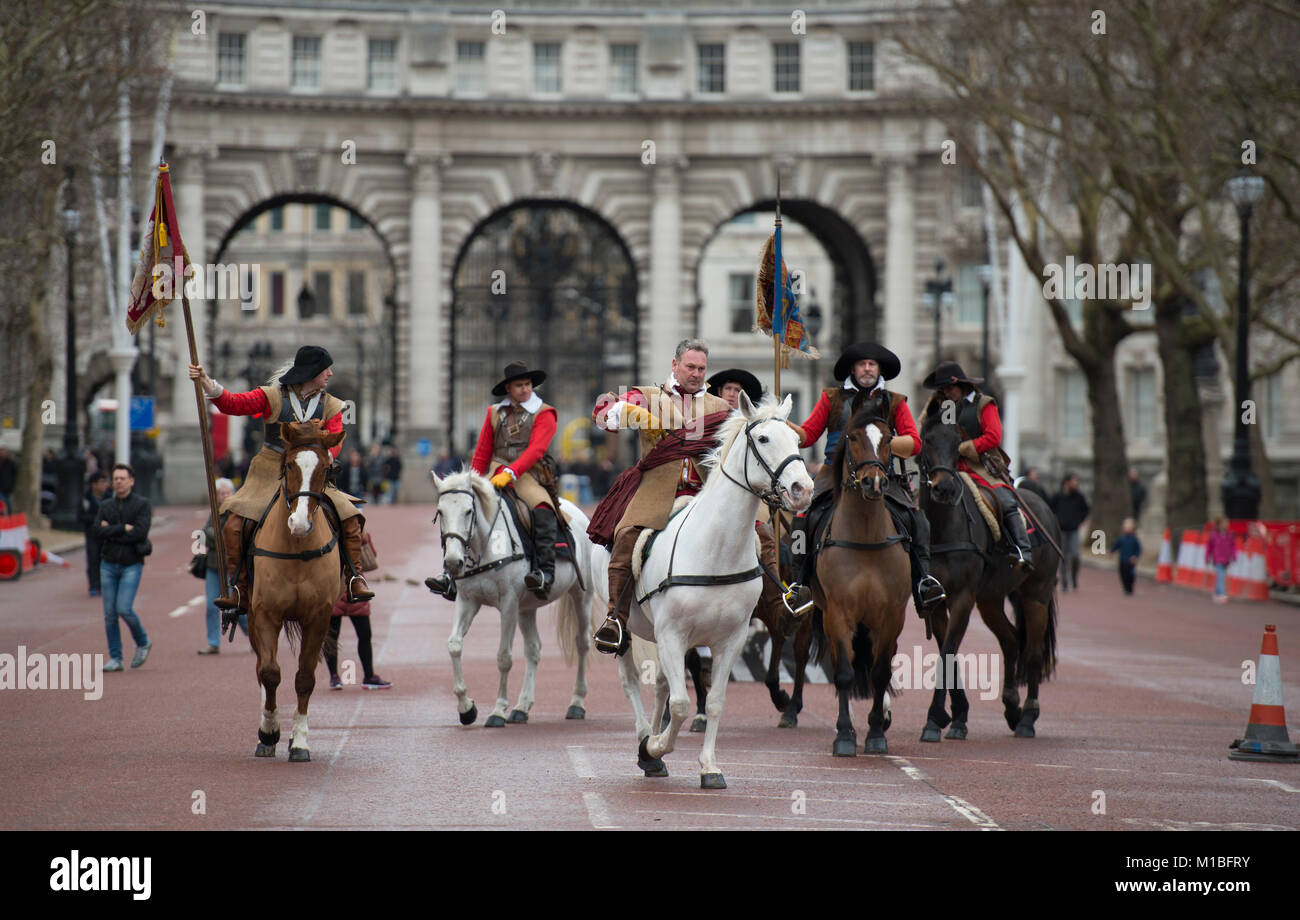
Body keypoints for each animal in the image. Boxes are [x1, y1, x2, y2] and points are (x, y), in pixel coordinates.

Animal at [249, 418, 348, 764]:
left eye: (326, 468)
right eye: (290, 464)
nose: (300, 524)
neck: (296, 548)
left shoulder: (317, 618)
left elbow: (305, 677)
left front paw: (300, 741)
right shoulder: (265, 613)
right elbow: (269, 672)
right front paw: (268, 732)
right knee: (261, 669)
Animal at [436, 475, 598, 727]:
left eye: (468, 511)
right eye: (440, 512)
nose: (453, 563)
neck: (485, 546)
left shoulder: (509, 604)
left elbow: (504, 657)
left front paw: (497, 711)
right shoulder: (467, 601)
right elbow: (454, 645)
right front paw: (466, 708)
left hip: (582, 596)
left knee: (582, 644)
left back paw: (577, 703)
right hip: (527, 608)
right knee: (534, 649)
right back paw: (522, 707)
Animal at [592, 392, 811, 784]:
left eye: (796, 439)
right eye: (764, 439)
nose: (804, 490)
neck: (716, 548)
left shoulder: (729, 640)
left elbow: (714, 703)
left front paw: (708, 766)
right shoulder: (672, 636)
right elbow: (681, 705)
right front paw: (655, 746)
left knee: (662, 686)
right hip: (628, 627)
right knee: (631, 682)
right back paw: (645, 738)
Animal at [806, 392, 909, 758]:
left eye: (889, 438)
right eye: (851, 437)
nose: (873, 482)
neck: (865, 537)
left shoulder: (892, 615)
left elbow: (880, 672)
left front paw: (877, 732)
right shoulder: (838, 614)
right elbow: (845, 674)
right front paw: (845, 735)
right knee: (843, 664)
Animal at [920, 400, 1060, 738]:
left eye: (957, 443)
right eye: (927, 440)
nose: (944, 489)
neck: (942, 526)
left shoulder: (962, 597)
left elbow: (947, 652)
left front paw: (935, 718)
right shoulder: (936, 600)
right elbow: (949, 653)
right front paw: (955, 716)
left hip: (1036, 595)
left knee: (1033, 652)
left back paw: (1027, 718)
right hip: (990, 599)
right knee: (1010, 640)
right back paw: (1011, 707)